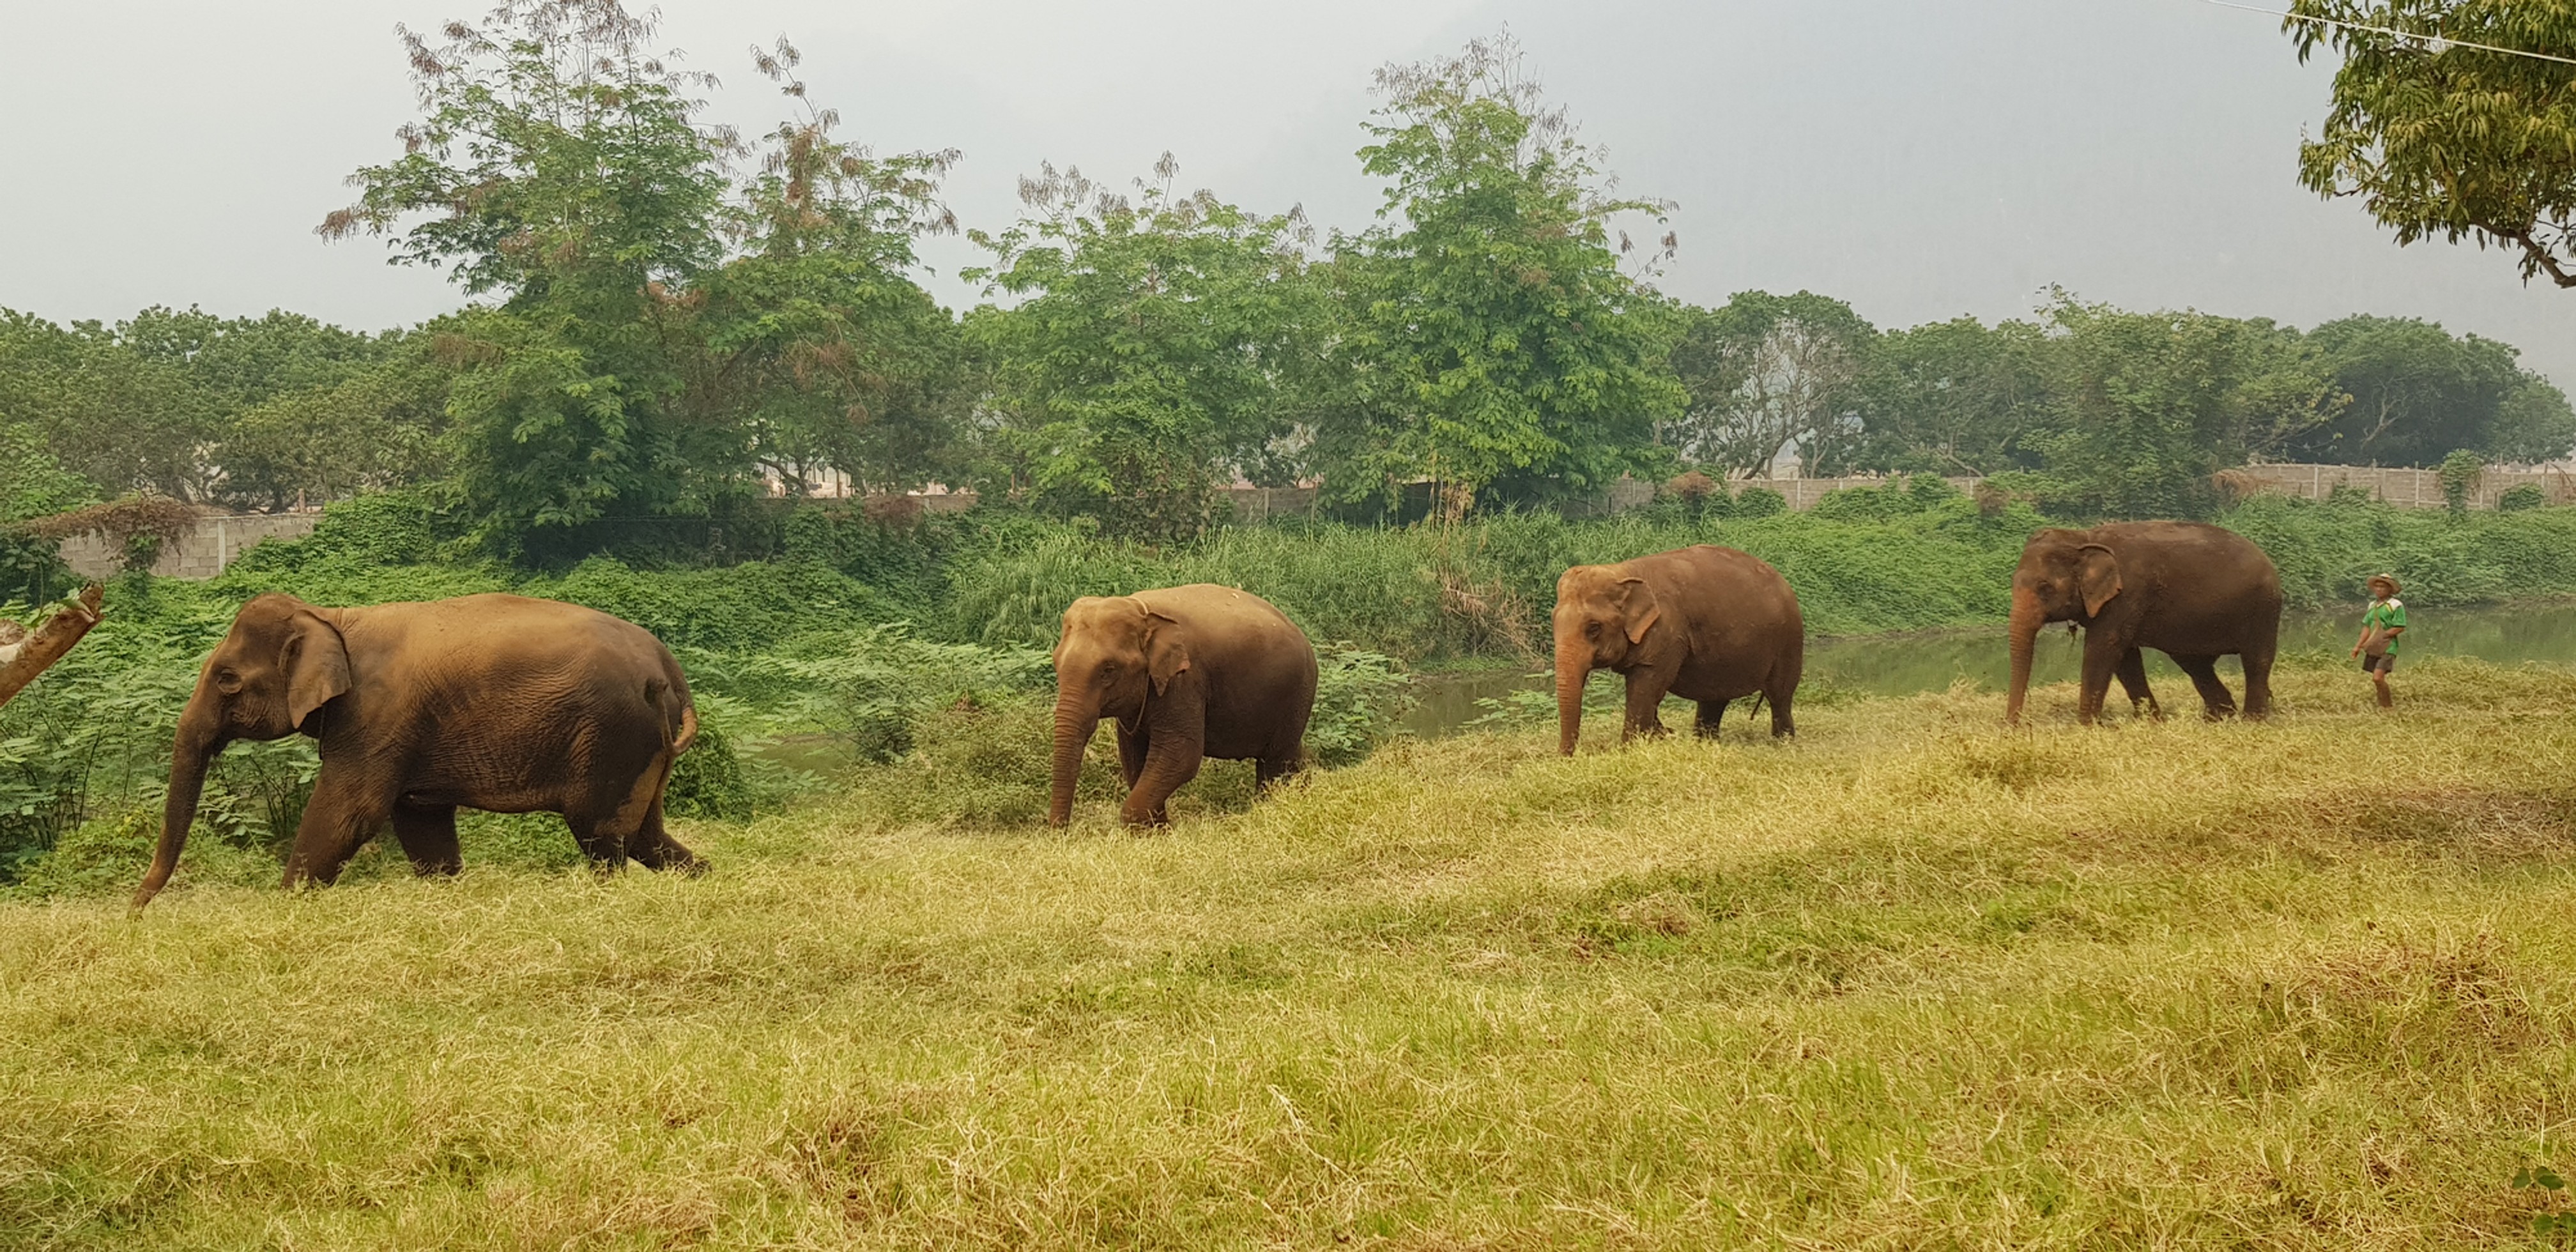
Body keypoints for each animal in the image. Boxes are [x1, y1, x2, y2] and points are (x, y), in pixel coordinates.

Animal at [132, 592, 702, 908]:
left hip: (612, 736)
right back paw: (704, 881)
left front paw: (285, 909)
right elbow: (421, 824)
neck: (332, 617)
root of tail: (670, 671)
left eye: (226, 679)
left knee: (602, 838)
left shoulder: (375, 720)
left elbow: (349, 815)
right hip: (643, 746)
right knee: (646, 836)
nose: (135, 914)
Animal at [1048, 584, 1318, 827]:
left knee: (1275, 760)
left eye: (1108, 670)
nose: (1062, 832)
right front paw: (1158, 831)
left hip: (1297, 693)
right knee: (1289, 754)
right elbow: (1133, 756)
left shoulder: (1186, 681)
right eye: (1056, 663)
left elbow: (1182, 755)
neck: (1142, 611)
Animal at [1554, 545, 1805, 755]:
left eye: (1594, 628)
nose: (1568, 757)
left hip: (1789, 641)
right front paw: (1662, 735)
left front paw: (1629, 750)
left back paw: (1783, 744)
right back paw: (1705, 743)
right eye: (1553, 621)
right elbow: (1648, 696)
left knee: (1780, 696)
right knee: (1713, 700)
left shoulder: (1666, 634)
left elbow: (1647, 689)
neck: (1622, 571)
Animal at [2004, 521, 2282, 726]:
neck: (2084, 536)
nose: (2013, 727)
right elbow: (2126, 659)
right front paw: (2153, 722)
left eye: (2045, 588)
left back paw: (2251, 721)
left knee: (2256, 661)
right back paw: (2219, 718)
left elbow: (2104, 648)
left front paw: (2085, 727)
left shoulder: (2128, 594)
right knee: (2195, 665)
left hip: (2263, 610)